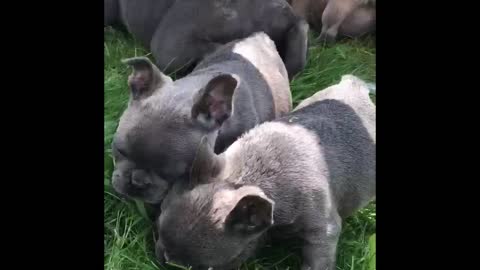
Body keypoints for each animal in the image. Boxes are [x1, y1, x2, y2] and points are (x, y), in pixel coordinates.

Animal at [155, 75, 376, 270]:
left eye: (206, 268)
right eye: (157, 232)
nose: (165, 260)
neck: (246, 177)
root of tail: (354, 84)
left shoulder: (323, 230)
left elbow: (318, 260)